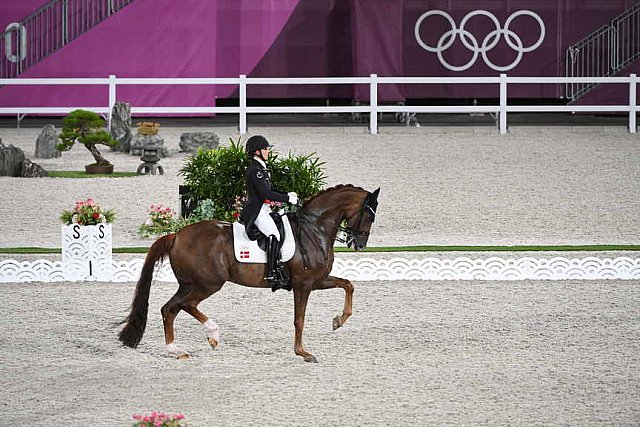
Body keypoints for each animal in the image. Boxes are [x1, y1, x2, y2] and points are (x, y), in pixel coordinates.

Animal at [119, 186, 378, 362]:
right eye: (368, 215)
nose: (359, 245)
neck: (314, 228)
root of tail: (176, 236)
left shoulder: (318, 280)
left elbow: (348, 284)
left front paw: (338, 321)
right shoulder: (303, 284)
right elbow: (299, 320)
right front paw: (303, 353)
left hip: (190, 284)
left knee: (170, 309)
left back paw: (180, 348)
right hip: (208, 284)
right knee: (182, 306)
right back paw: (207, 336)